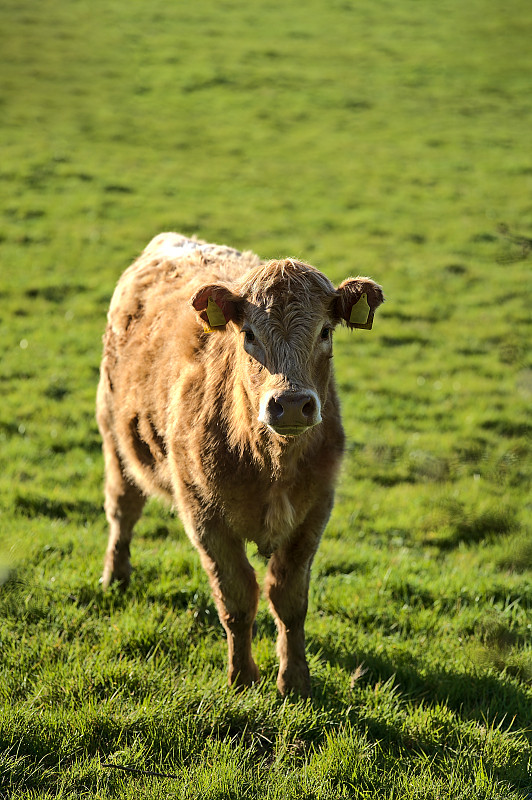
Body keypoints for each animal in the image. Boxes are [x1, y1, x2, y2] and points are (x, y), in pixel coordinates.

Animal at [97, 231, 384, 692]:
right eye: (248, 334)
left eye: (325, 331)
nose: (291, 404)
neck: (270, 464)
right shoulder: (204, 517)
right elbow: (237, 597)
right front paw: (242, 676)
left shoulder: (314, 512)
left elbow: (288, 598)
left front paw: (295, 679)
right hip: (116, 441)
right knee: (123, 510)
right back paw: (116, 577)